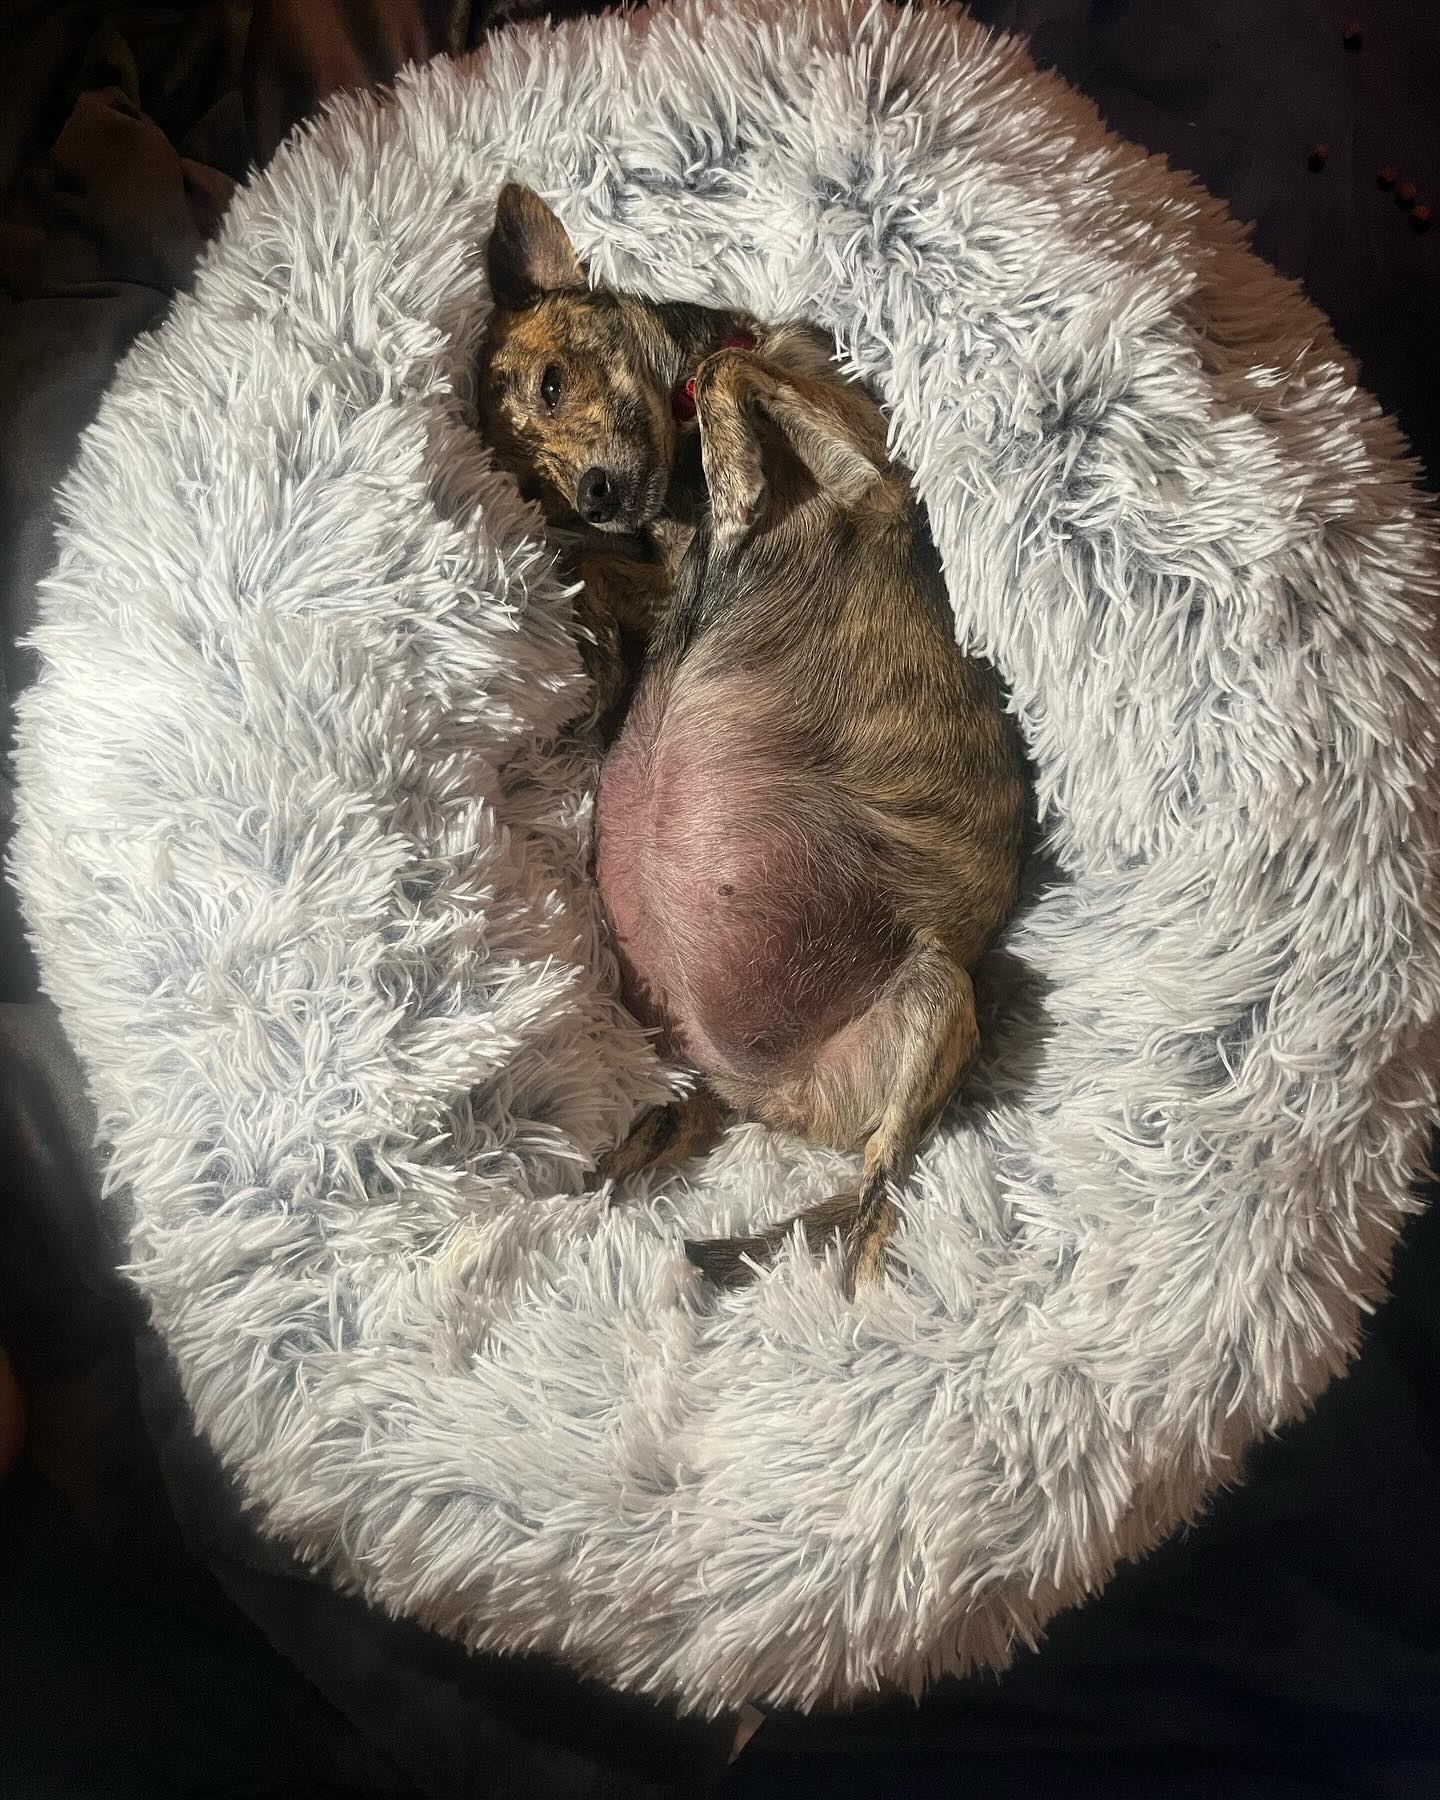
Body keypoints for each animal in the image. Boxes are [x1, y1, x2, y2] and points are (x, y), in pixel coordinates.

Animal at [478, 182, 1015, 1296]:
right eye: (532, 491)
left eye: (554, 384)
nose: (591, 499)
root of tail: (759, 1095)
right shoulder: (646, 569)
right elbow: (614, 589)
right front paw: (596, 655)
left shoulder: (875, 477)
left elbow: (731, 378)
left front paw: (735, 487)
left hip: (936, 996)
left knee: (875, 1198)